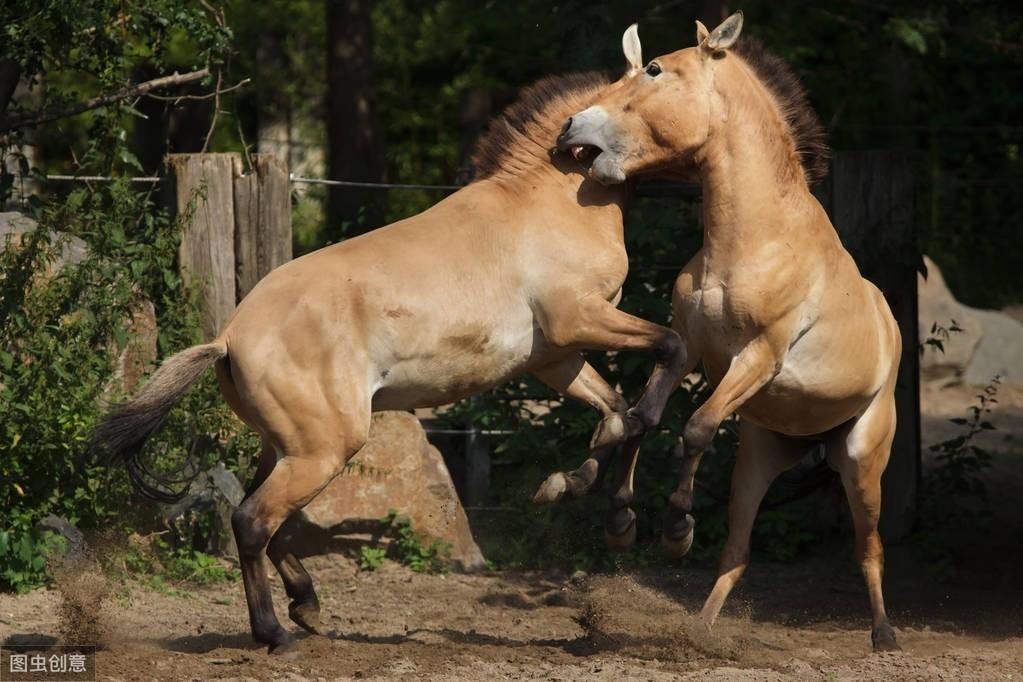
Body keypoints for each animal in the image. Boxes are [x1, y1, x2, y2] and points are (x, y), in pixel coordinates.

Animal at [94, 57, 687, 650]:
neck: (550, 200)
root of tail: (230, 336)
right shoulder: (580, 322)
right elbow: (665, 361)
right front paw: (626, 523)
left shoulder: (554, 358)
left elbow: (618, 415)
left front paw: (577, 496)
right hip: (322, 451)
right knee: (253, 521)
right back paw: (275, 632)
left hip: (285, 447)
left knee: (270, 522)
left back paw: (307, 607)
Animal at [556, 10, 900, 650]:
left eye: (655, 69)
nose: (571, 126)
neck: (752, 240)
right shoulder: (690, 347)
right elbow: (644, 417)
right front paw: (621, 524)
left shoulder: (758, 356)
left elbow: (695, 427)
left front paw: (675, 529)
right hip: (758, 459)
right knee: (737, 552)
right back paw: (701, 630)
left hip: (863, 459)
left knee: (869, 548)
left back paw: (885, 635)